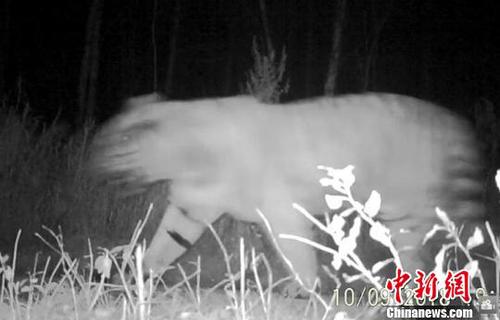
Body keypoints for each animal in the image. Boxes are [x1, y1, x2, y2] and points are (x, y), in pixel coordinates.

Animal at [90, 93, 484, 296]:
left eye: (110, 145)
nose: (91, 164)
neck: (186, 158)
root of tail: (452, 120)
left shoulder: (281, 210)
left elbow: (298, 253)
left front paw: (306, 293)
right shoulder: (189, 209)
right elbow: (163, 246)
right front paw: (136, 279)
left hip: (414, 212)